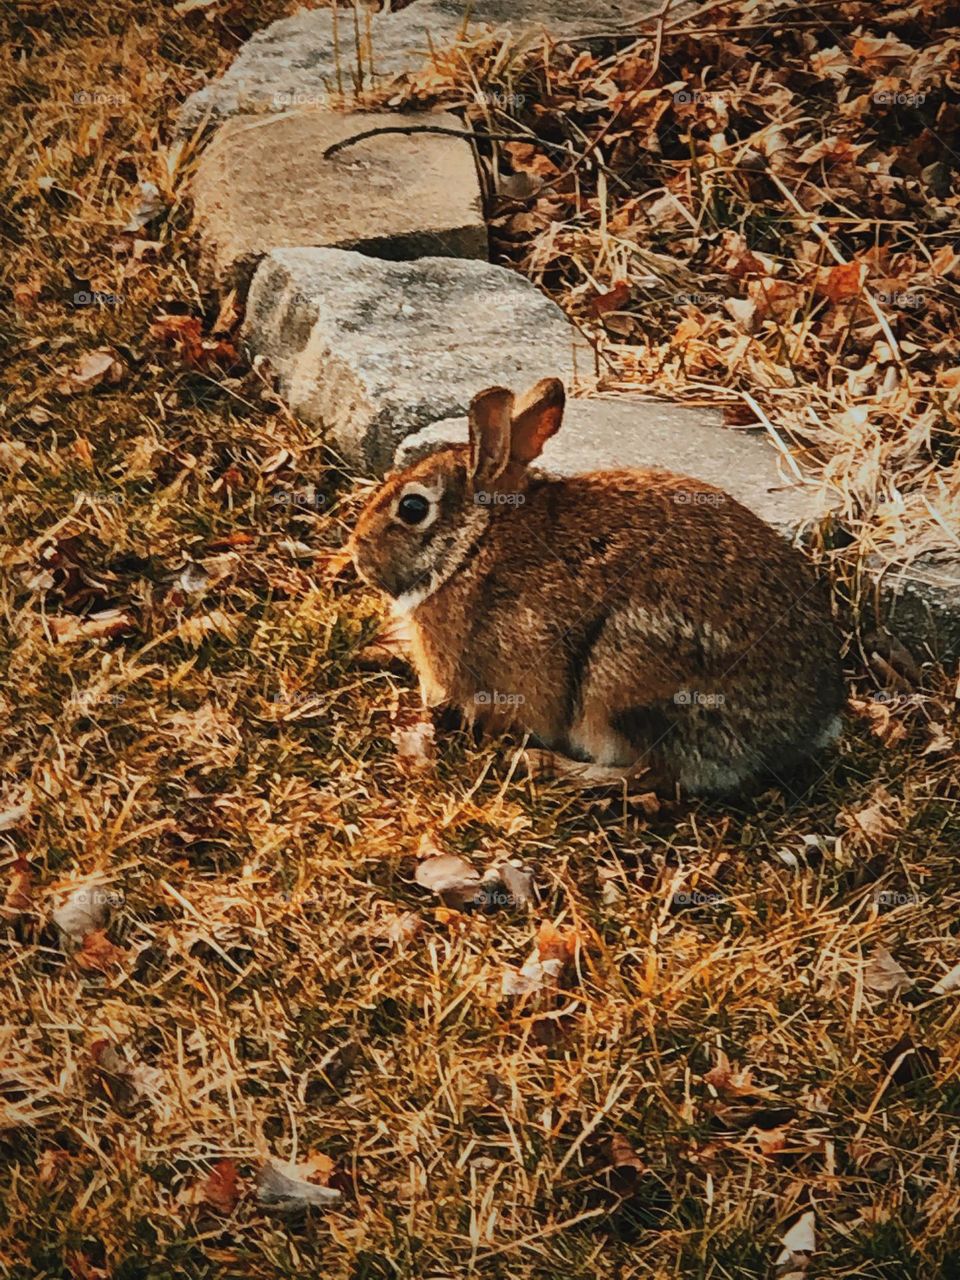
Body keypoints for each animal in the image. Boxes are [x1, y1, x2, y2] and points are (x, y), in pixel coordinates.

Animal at [350, 373, 844, 788]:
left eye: (413, 508)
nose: (358, 553)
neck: (472, 544)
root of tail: (807, 725)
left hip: (617, 683)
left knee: (645, 774)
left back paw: (542, 764)